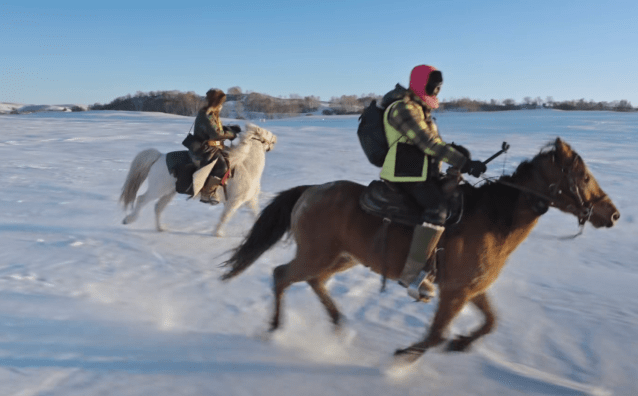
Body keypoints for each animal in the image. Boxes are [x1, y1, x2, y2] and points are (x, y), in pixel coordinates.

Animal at [120, 122, 278, 237]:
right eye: (267, 133)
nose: (275, 139)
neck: (246, 167)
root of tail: (159, 157)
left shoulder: (250, 201)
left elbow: (257, 215)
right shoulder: (233, 202)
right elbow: (224, 218)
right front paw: (217, 233)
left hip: (169, 192)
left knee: (158, 207)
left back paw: (161, 228)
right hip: (157, 189)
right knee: (141, 200)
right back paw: (129, 219)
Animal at [220, 138, 620, 364]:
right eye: (584, 177)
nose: (613, 213)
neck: (494, 218)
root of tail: (311, 190)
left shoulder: (471, 288)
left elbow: (491, 322)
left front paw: (461, 344)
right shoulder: (455, 292)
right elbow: (437, 333)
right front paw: (404, 357)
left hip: (342, 258)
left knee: (314, 282)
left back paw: (339, 325)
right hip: (317, 255)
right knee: (281, 276)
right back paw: (274, 329)